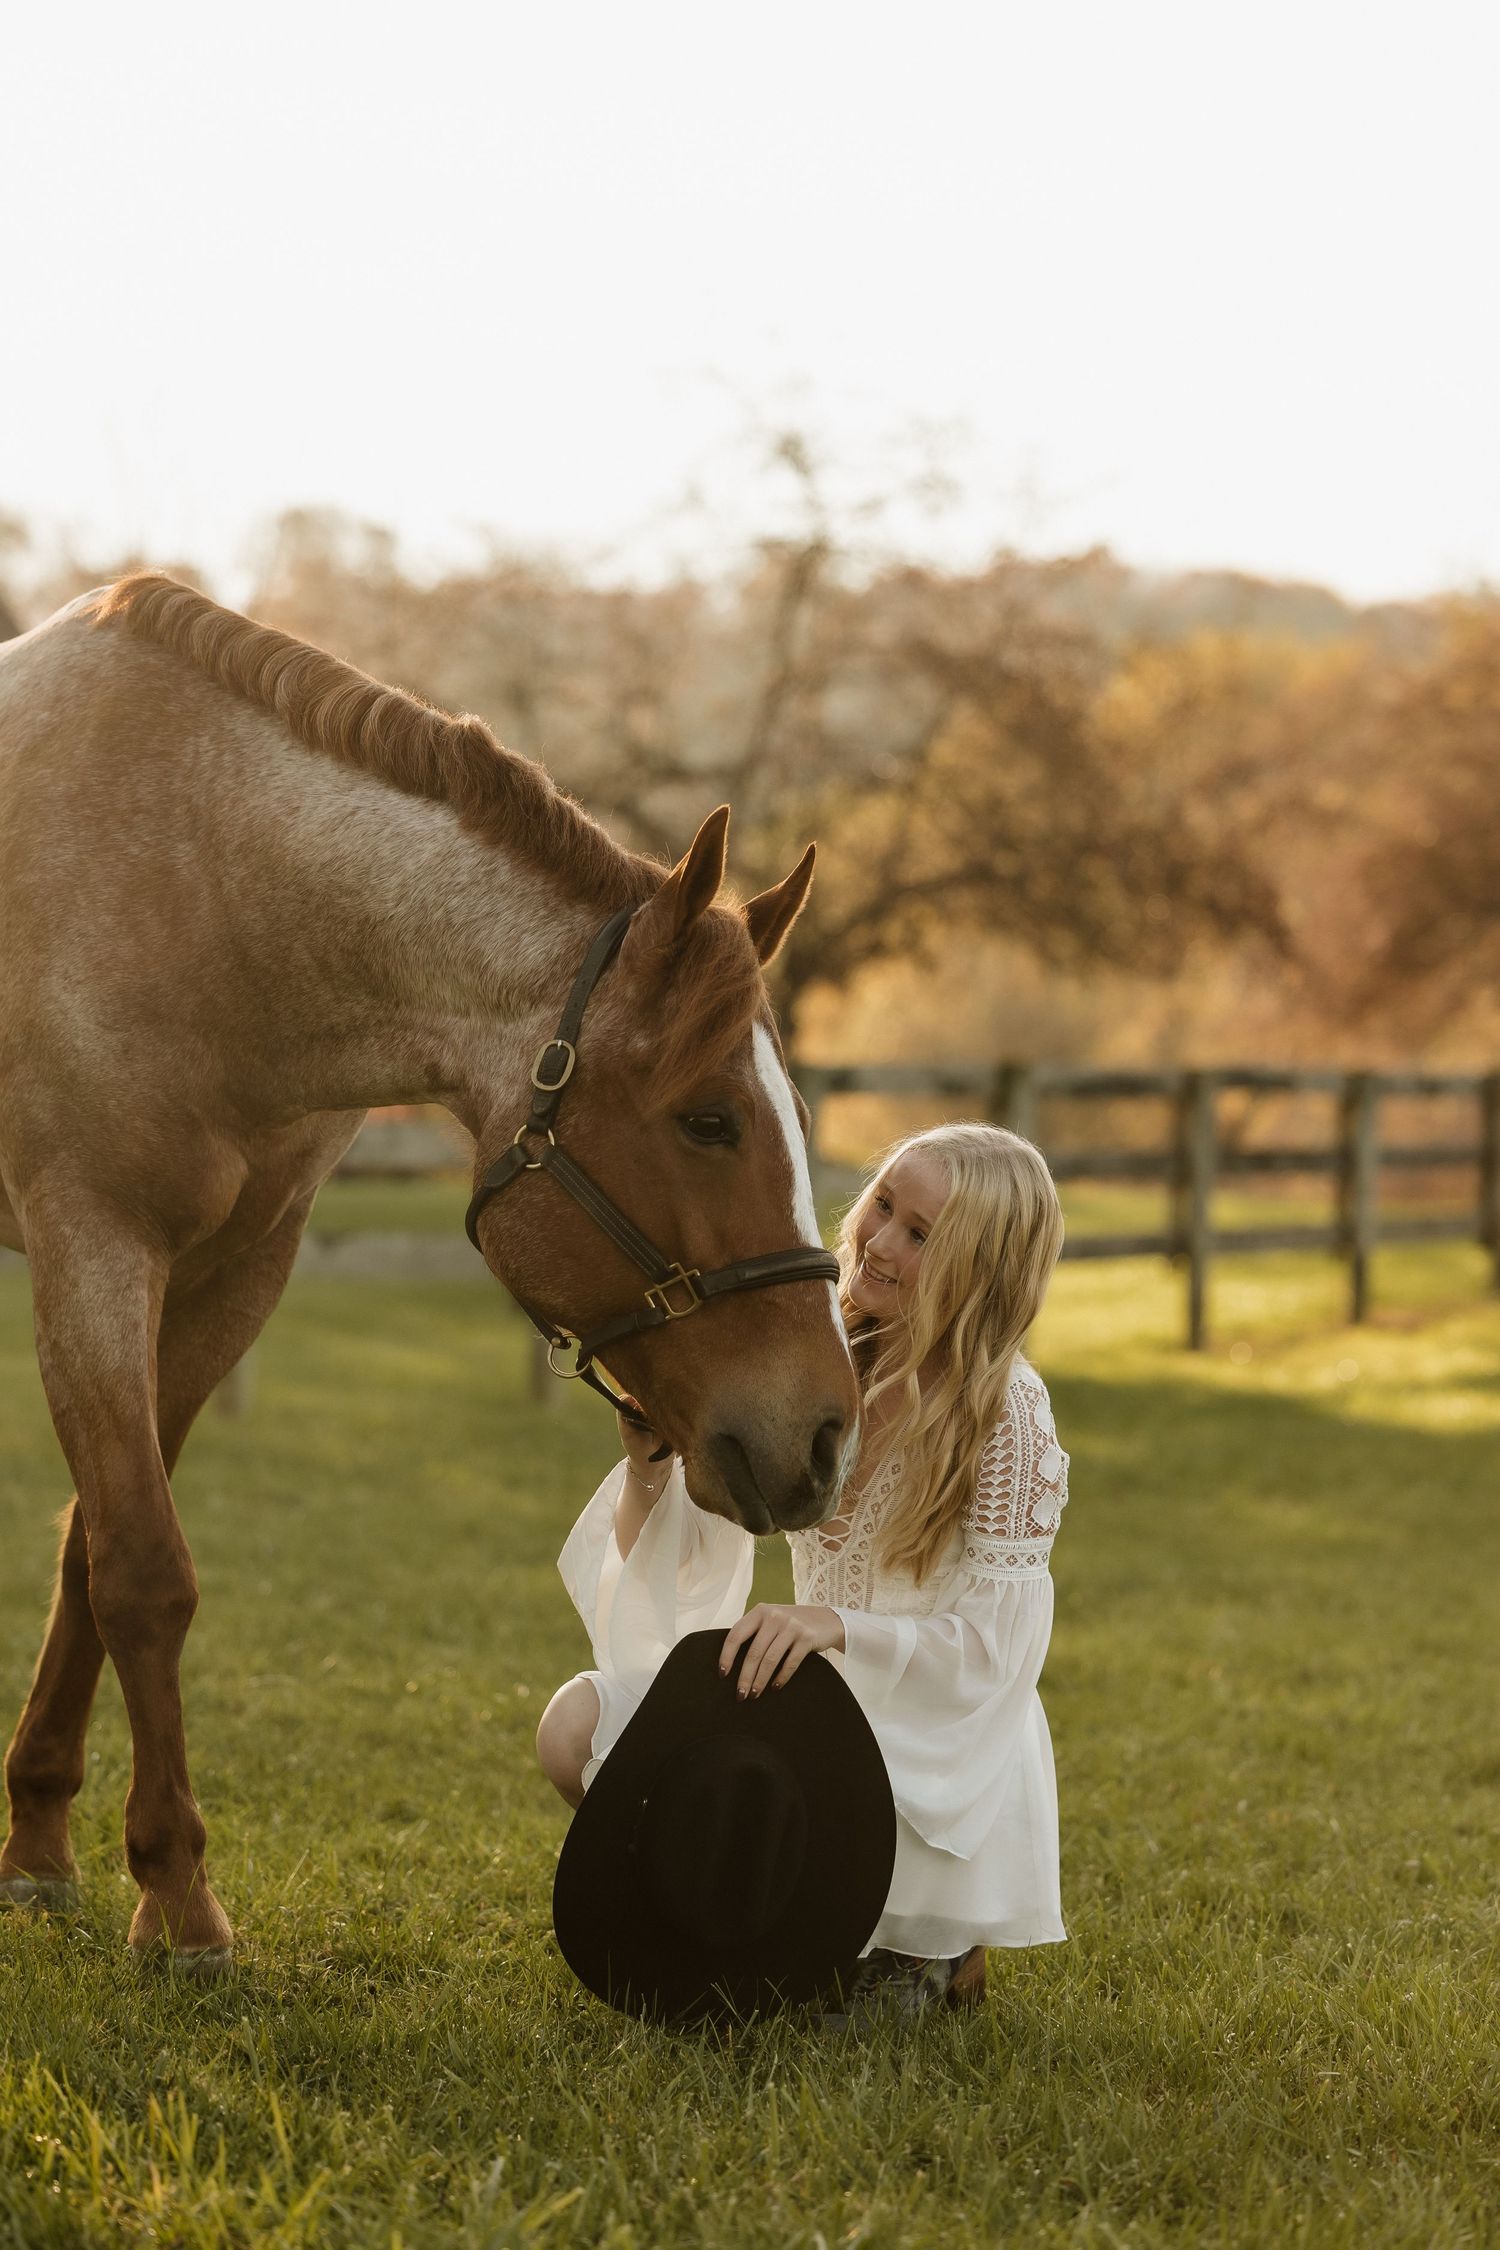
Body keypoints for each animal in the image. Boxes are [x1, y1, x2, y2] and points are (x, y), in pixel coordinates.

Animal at [0, 575, 859, 1971]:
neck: (191, 882)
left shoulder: (233, 1273)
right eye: (710, 1120)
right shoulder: (90, 1246)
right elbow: (141, 1569)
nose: (827, 1435)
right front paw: (177, 1894)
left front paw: (37, 1842)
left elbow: (89, 1549)